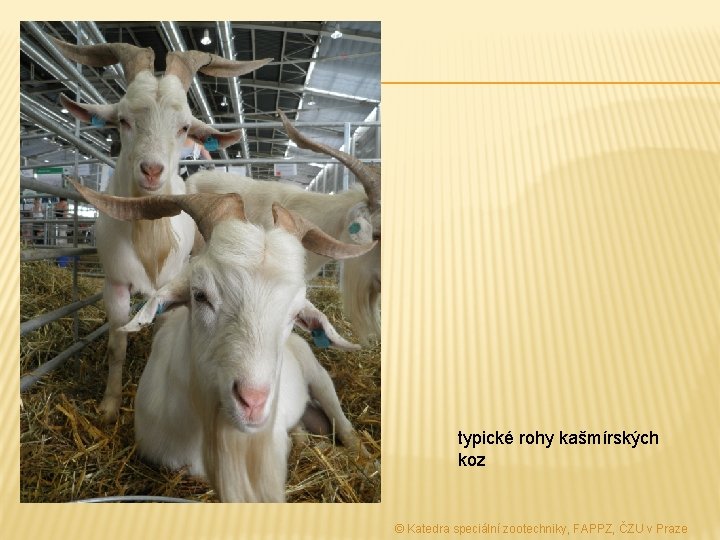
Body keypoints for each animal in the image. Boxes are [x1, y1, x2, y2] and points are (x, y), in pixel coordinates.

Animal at [53, 37, 270, 422]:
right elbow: (116, 344)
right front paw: (109, 406)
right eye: (123, 120)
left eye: (183, 127)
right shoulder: (115, 283)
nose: (152, 170)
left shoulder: (172, 283)